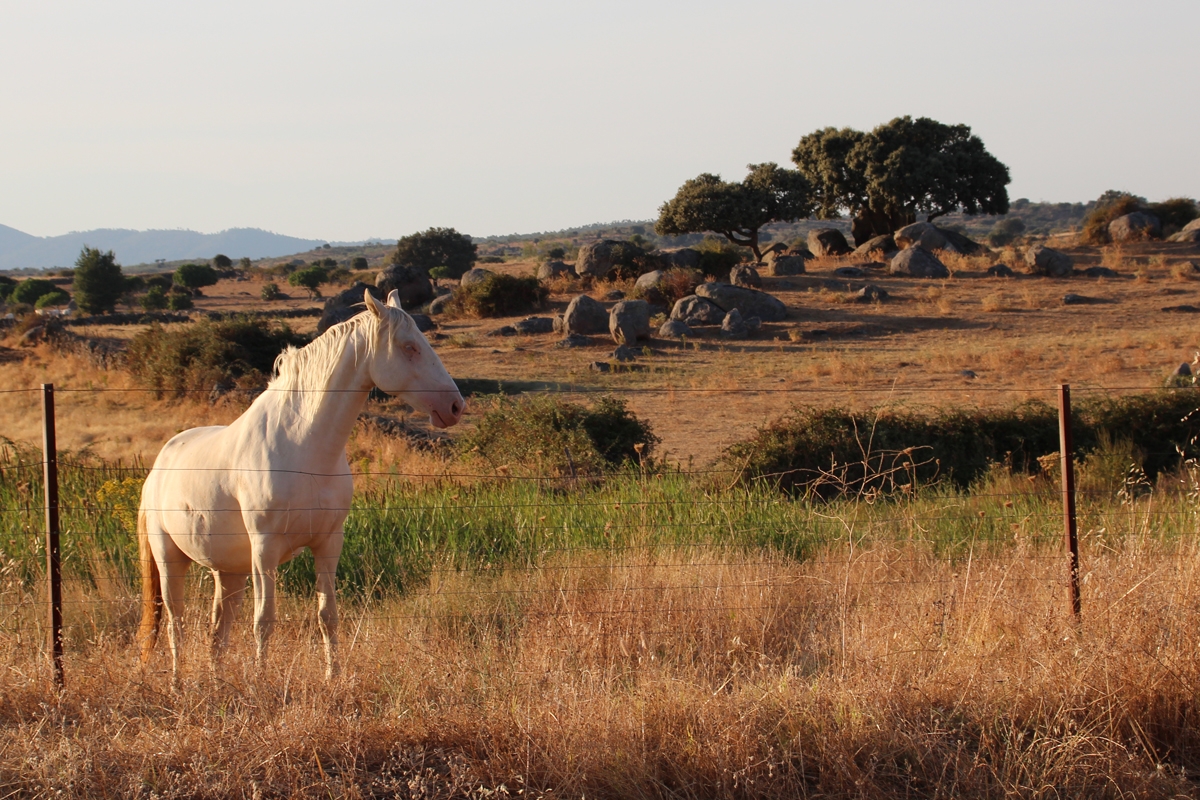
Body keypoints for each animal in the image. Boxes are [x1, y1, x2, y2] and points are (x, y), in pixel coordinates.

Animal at [136, 291, 460, 686]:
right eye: (408, 347)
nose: (455, 406)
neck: (301, 445)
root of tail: (158, 467)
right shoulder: (264, 549)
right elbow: (264, 620)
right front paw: (261, 681)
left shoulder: (328, 543)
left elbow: (327, 616)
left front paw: (333, 677)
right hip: (170, 558)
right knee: (175, 622)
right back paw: (177, 683)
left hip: (228, 570)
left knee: (218, 630)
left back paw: (217, 682)